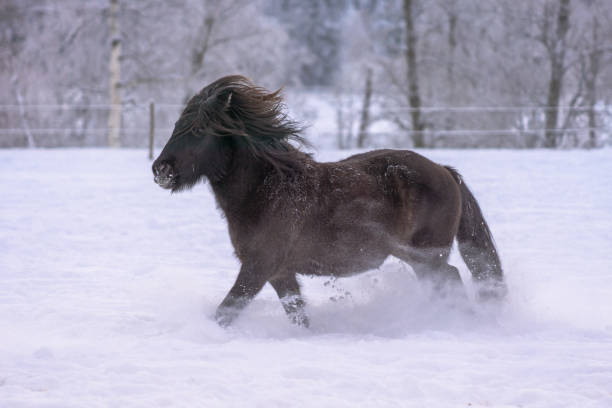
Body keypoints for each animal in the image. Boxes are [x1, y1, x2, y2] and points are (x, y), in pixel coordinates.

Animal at [153, 75, 506, 326]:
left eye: (198, 129)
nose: (160, 170)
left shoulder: (258, 267)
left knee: (451, 279)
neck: (265, 190)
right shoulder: (280, 273)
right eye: (177, 125)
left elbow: (226, 311)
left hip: (427, 255)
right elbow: (298, 315)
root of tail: (445, 171)